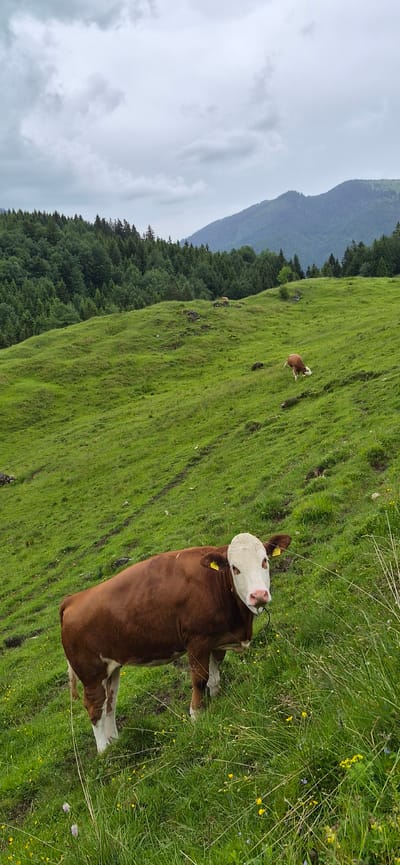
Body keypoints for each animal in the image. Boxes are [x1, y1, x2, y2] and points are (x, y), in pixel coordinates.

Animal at [60, 531, 291, 753]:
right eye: (235, 568)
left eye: (264, 561)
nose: (258, 595)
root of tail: (73, 599)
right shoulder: (197, 640)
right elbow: (199, 678)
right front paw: (196, 714)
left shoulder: (217, 638)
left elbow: (215, 670)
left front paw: (216, 695)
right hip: (91, 673)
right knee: (94, 706)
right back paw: (104, 750)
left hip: (111, 669)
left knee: (110, 703)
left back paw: (115, 741)